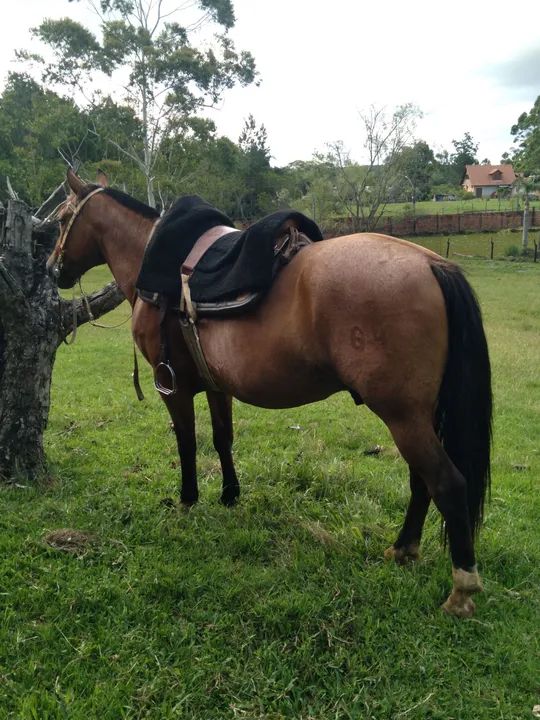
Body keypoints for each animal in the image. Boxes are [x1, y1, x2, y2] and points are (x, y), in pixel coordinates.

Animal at [47, 169, 492, 617]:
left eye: (63, 218)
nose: (52, 268)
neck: (153, 261)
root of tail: (431, 263)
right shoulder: (217, 385)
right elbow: (222, 439)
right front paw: (230, 495)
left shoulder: (171, 385)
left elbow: (187, 443)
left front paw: (188, 500)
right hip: (419, 417)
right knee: (422, 481)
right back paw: (402, 550)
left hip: (402, 417)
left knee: (447, 484)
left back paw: (461, 590)